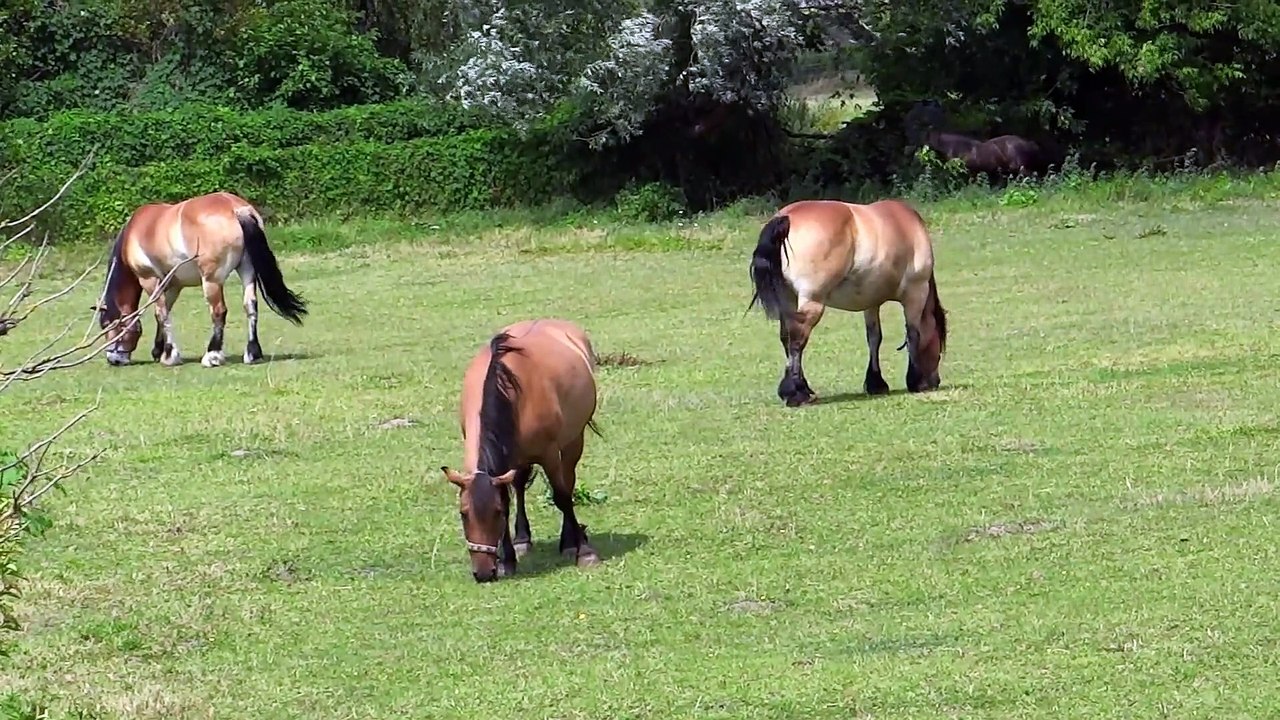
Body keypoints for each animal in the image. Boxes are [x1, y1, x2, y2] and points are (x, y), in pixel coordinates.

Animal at [94, 191, 308, 368]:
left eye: (106, 325)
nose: (114, 359)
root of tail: (236, 209)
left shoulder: (149, 279)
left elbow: (162, 314)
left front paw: (169, 356)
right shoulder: (173, 285)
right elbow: (163, 312)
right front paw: (159, 351)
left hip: (211, 280)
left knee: (219, 311)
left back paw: (212, 355)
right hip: (247, 271)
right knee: (251, 306)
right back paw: (252, 353)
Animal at [439, 318, 604, 583]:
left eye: (495, 513)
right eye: (463, 514)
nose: (483, 573)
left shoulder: (549, 454)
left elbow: (561, 496)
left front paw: (585, 553)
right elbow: (509, 499)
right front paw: (508, 560)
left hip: (572, 440)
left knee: (568, 481)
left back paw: (570, 541)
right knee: (519, 487)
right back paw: (522, 539)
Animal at [748, 199, 948, 407]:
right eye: (939, 351)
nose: (935, 381)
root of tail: (786, 217)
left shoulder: (871, 302)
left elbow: (874, 338)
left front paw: (876, 383)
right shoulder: (915, 294)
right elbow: (913, 335)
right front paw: (916, 380)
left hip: (789, 299)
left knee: (786, 337)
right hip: (812, 301)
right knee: (797, 339)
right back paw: (796, 393)